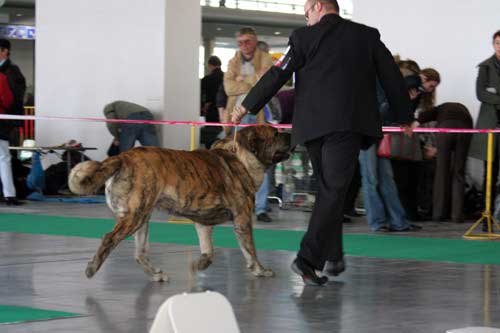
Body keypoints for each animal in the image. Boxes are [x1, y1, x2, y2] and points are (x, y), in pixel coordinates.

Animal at [68, 124, 292, 280]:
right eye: (275, 133)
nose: (289, 133)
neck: (242, 157)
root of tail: (123, 157)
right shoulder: (243, 218)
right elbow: (250, 250)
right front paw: (260, 270)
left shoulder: (203, 223)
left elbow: (208, 251)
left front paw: (198, 266)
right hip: (135, 216)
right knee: (109, 238)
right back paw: (92, 268)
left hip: (142, 219)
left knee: (140, 253)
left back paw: (157, 274)